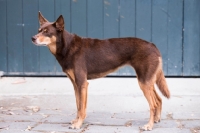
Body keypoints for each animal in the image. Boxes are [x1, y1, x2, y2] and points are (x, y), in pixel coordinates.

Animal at [31, 11, 170, 131]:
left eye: (47, 32)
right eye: (39, 30)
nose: (32, 38)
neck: (67, 47)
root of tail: (153, 45)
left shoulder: (82, 83)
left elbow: (81, 108)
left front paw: (78, 124)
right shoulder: (76, 85)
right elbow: (78, 105)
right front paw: (76, 121)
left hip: (144, 82)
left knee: (153, 105)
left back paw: (149, 126)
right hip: (148, 81)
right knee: (159, 100)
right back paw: (156, 120)